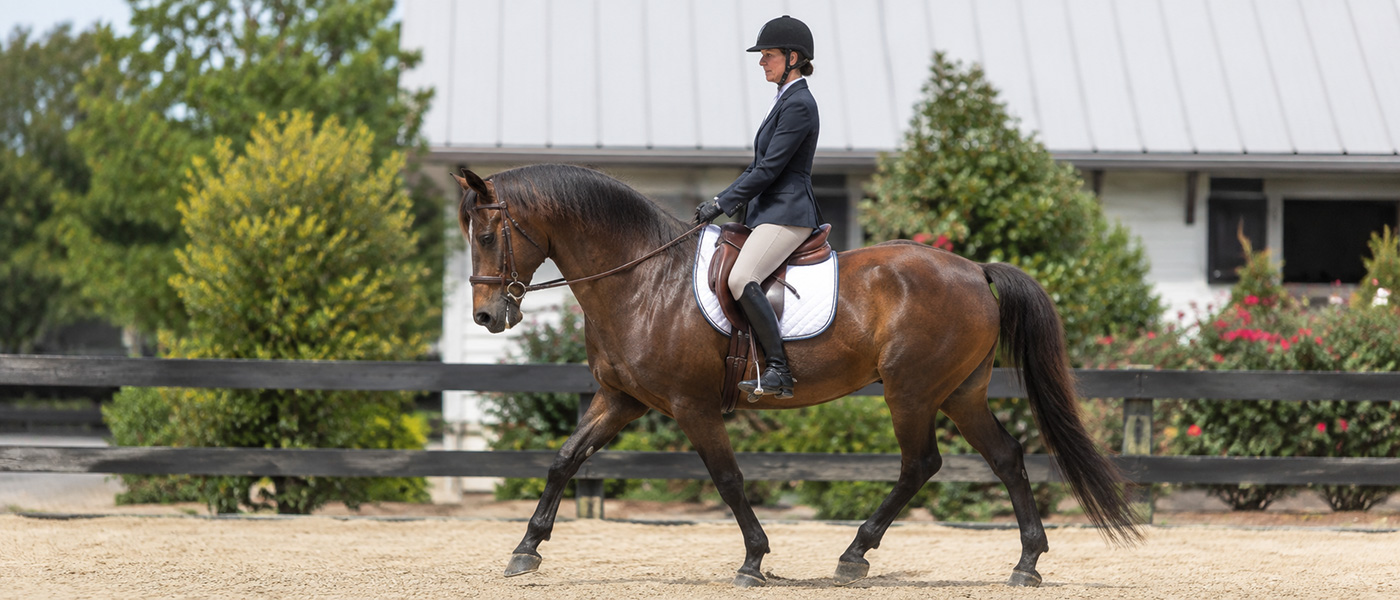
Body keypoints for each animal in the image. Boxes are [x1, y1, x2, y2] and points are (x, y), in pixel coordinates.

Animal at [450, 164, 1139, 589]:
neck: (642, 278)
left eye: (487, 233)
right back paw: (1026, 562)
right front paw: (526, 550)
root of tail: (973, 268)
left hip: (912, 392)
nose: (487, 316)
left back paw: (855, 555)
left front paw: (754, 560)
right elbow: (564, 458)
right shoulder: (622, 399)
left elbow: (728, 479)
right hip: (959, 394)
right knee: (1006, 457)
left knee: (921, 464)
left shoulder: (691, 406)